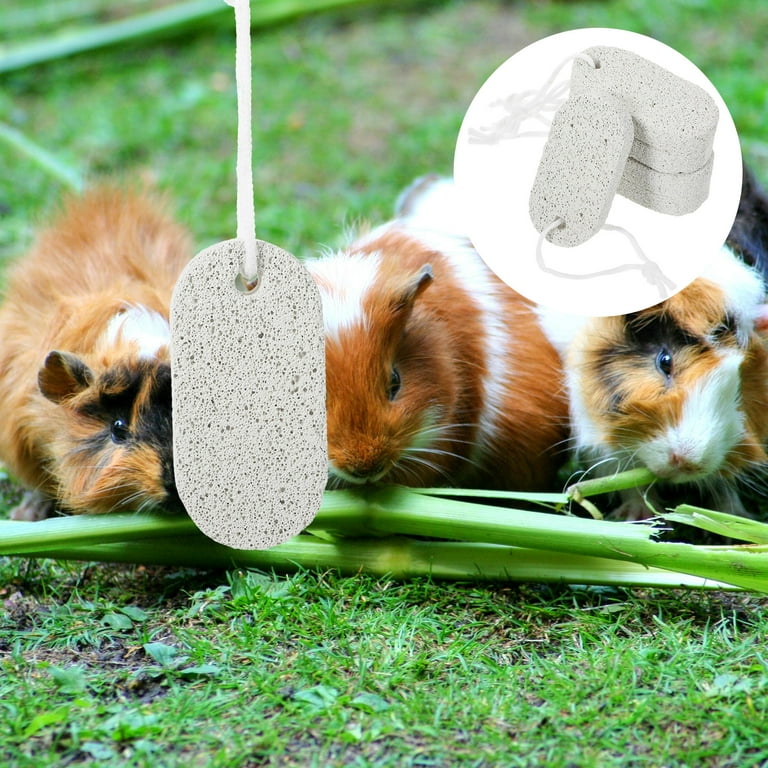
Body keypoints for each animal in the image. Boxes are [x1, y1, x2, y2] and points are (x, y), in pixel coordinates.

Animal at [544, 246, 768, 518]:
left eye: (743, 376)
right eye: (664, 361)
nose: (687, 462)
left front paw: (732, 517)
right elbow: (622, 476)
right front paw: (638, 515)